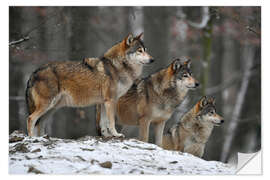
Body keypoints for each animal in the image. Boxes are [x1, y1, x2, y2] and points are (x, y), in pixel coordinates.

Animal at [26, 32, 156, 136]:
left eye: (146, 50)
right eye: (139, 51)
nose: (152, 60)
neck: (117, 66)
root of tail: (34, 72)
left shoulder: (103, 102)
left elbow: (104, 123)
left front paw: (107, 136)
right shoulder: (110, 100)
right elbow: (111, 122)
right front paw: (116, 134)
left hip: (52, 108)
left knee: (40, 123)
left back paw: (42, 138)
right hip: (47, 105)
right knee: (30, 119)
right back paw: (32, 138)